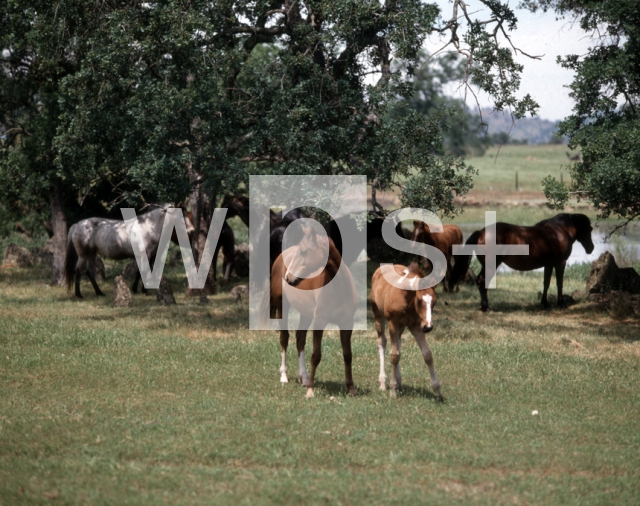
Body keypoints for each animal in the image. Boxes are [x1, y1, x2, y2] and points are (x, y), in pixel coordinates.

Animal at [65, 205, 195, 298]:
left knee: (90, 272)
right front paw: (142, 290)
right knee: (78, 271)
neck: (148, 227)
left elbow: (141, 272)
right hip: (83, 255)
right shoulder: (145, 255)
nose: (192, 231)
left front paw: (138, 289)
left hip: (92, 254)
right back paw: (79, 294)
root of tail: (77, 225)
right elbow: (143, 272)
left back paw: (99, 293)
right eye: (180, 218)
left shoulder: (148, 256)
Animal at [260, 226, 360, 400]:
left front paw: (351, 388)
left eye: (304, 251)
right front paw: (310, 390)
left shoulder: (347, 323)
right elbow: (316, 355)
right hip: (282, 307)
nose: (288, 277)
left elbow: (348, 354)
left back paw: (304, 377)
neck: (340, 287)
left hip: (305, 314)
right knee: (284, 338)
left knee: (300, 339)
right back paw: (284, 376)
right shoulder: (319, 321)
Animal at [368, 262, 442, 402]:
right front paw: (392, 390)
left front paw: (437, 391)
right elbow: (394, 356)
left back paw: (399, 382)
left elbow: (427, 355)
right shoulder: (393, 324)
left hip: (402, 327)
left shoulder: (416, 326)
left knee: (398, 343)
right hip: (378, 315)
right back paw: (383, 383)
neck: (406, 299)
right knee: (382, 342)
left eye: (434, 302)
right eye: (419, 301)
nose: (428, 327)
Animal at [450, 211, 596, 310]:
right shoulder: (560, 263)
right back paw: (486, 307)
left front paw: (545, 303)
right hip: (491, 265)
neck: (558, 232)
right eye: (588, 229)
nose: (591, 248)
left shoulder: (549, 264)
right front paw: (561, 303)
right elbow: (559, 283)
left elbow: (546, 283)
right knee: (482, 281)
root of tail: (481, 232)